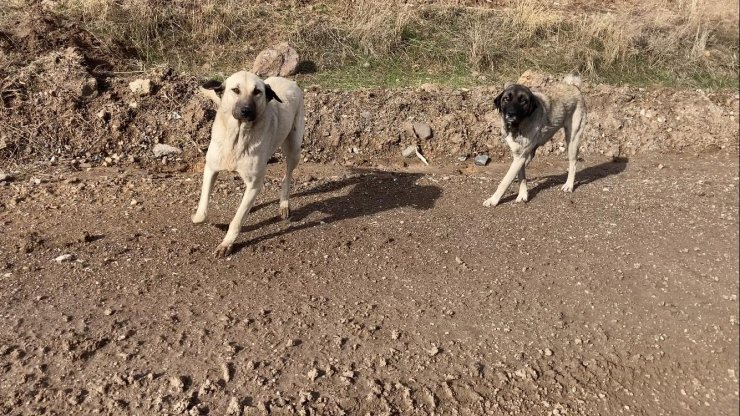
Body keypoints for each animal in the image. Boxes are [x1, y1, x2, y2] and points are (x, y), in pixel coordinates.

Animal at [194, 70, 306, 256]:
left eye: (257, 92)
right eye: (235, 90)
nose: (246, 111)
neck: (237, 137)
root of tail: (290, 82)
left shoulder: (254, 182)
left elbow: (237, 220)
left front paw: (227, 243)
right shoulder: (210, 169)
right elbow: (202, 212)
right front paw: (199, 218)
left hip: (294, 150)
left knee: (287, 176)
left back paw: (284, 203)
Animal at [482, 75, 588, 208]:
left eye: (523, 101)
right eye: (506, 99)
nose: (511, 114)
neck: (518, 126)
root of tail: (574, 86)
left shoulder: (520, 157)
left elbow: (505, 181)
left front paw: (493, 200)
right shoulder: (519, 155)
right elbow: (521, 175)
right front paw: (523, 194)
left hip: (572, 140)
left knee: (573, 164)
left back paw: (569, 185)